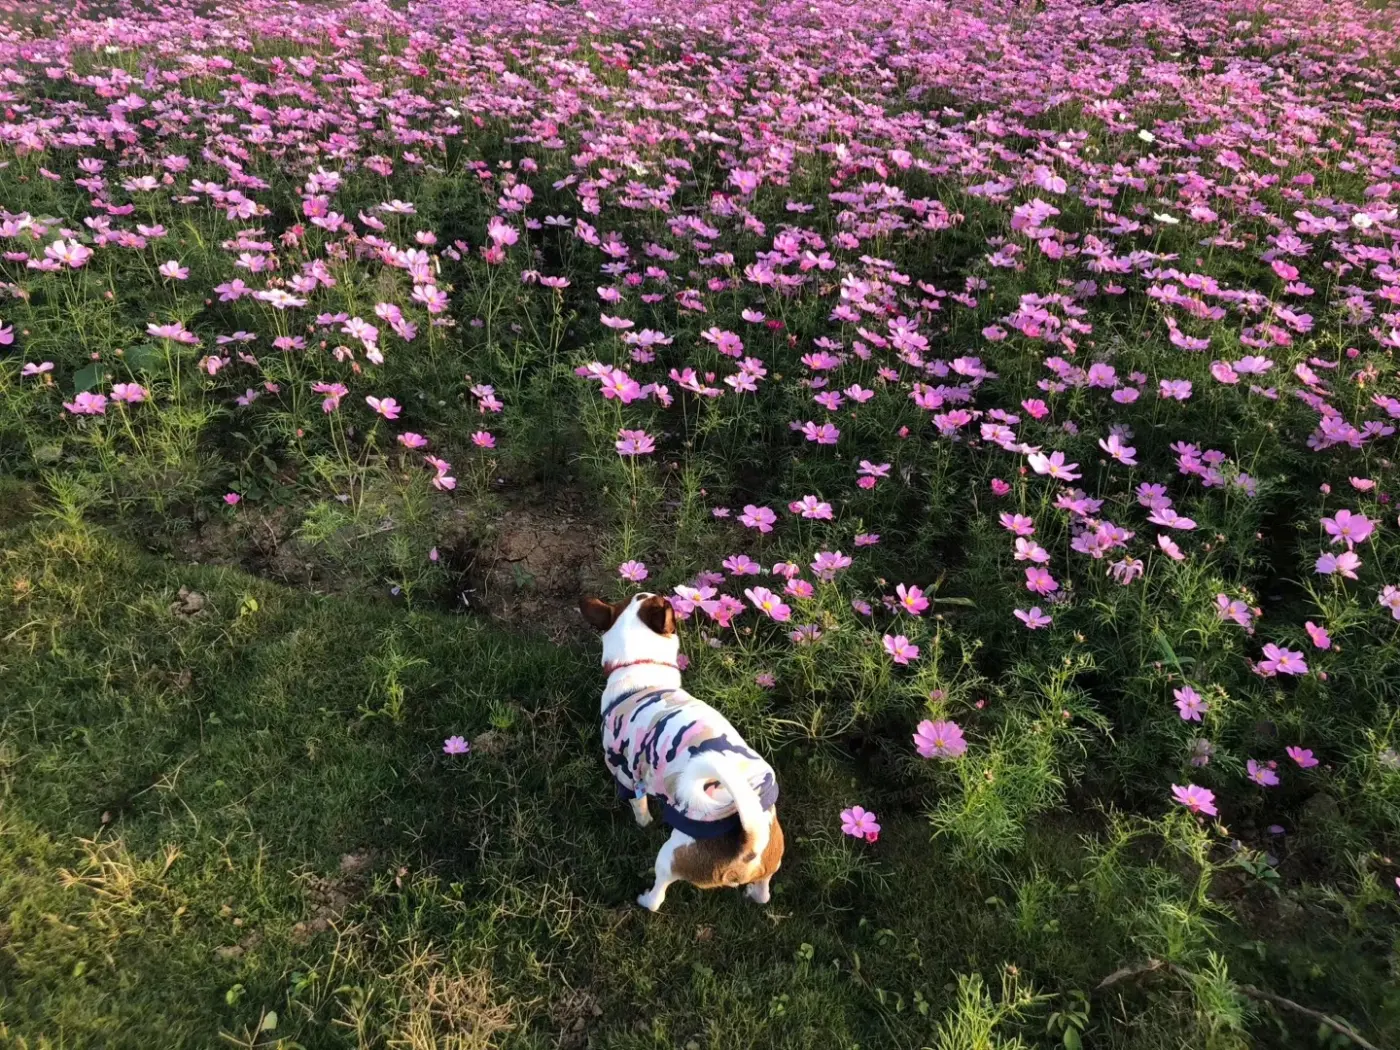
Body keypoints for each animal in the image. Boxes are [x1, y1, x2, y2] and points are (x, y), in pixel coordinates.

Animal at [576, 593, 784, 912]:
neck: (642, 674)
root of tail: (750, 844)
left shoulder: (626, 773)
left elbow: (639, 806)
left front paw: (644, 823)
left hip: (670, 856)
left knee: (658, 895)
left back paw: (645, 898)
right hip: (768, 863)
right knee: (763, 892)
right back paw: (754, 893)